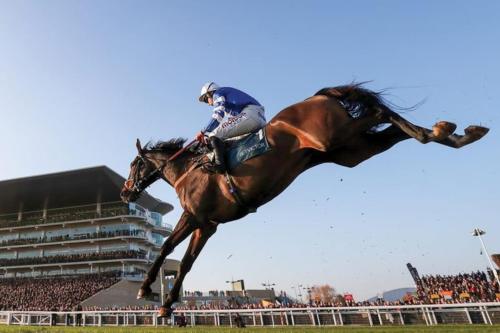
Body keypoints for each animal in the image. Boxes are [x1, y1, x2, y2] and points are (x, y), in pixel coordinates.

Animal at [120, 82, 488, 314]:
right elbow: (185, 262)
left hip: (335, 136)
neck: (189, 169)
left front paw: (147, 290)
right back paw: (451, 134)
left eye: (133, 165)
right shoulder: (208, 225)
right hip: (350, 151)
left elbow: (167, 250)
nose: (125, 191)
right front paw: (166, 305)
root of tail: (320, 95)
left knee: (379, 113)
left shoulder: (195, 216)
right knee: (392, 131)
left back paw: (448, 130)